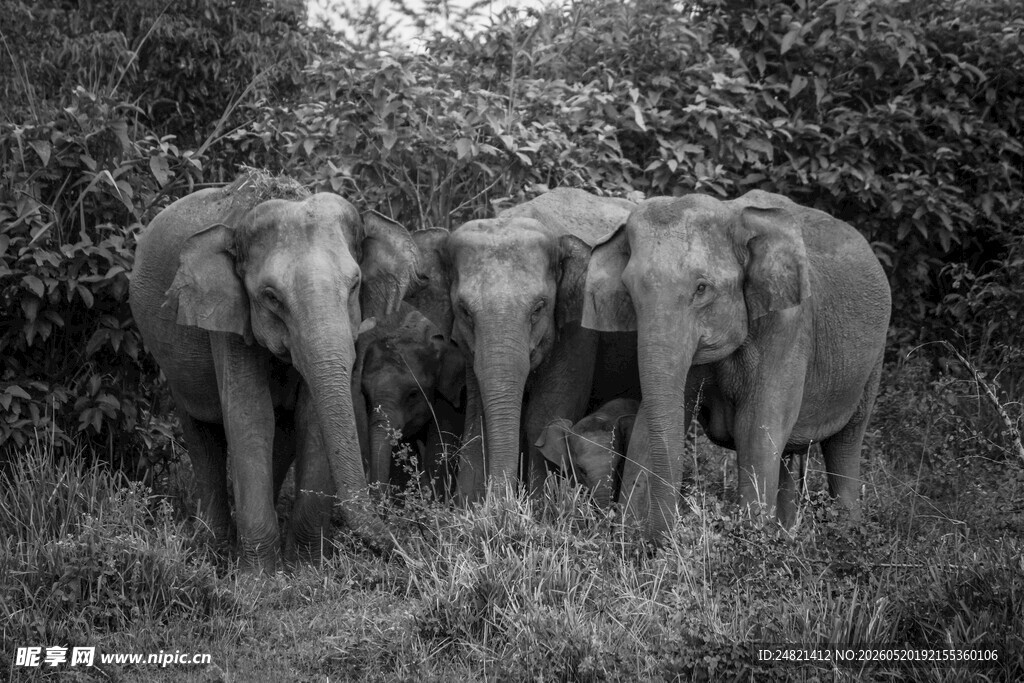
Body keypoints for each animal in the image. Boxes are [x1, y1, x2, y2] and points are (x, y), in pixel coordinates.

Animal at [129, 172, 419, 569]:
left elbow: (310, 418)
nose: (404, 548)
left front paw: (306, 567)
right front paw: (259, 576)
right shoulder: (227, 320)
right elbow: (250, 416)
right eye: (271, 297)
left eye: (355, 285)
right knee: (201, 432)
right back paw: (211, 548)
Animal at [413, 188, 638, 503]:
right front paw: (469, 506)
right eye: (464, 310)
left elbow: (544, 414)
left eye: (539, 308)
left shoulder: (580, 328)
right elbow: (477, 416)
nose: (501, 502)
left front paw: (541, 508)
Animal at [582, 189, 891, 538]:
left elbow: (755, 428)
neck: (732, 213)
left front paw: (752, 539)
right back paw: (787, 536)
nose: (664, 535)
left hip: (873, 361)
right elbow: (652, 422)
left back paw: (846, 534)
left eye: (702, 288)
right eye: (629, 292)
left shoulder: (789, 324)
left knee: (845, 443)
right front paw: (627, 538)